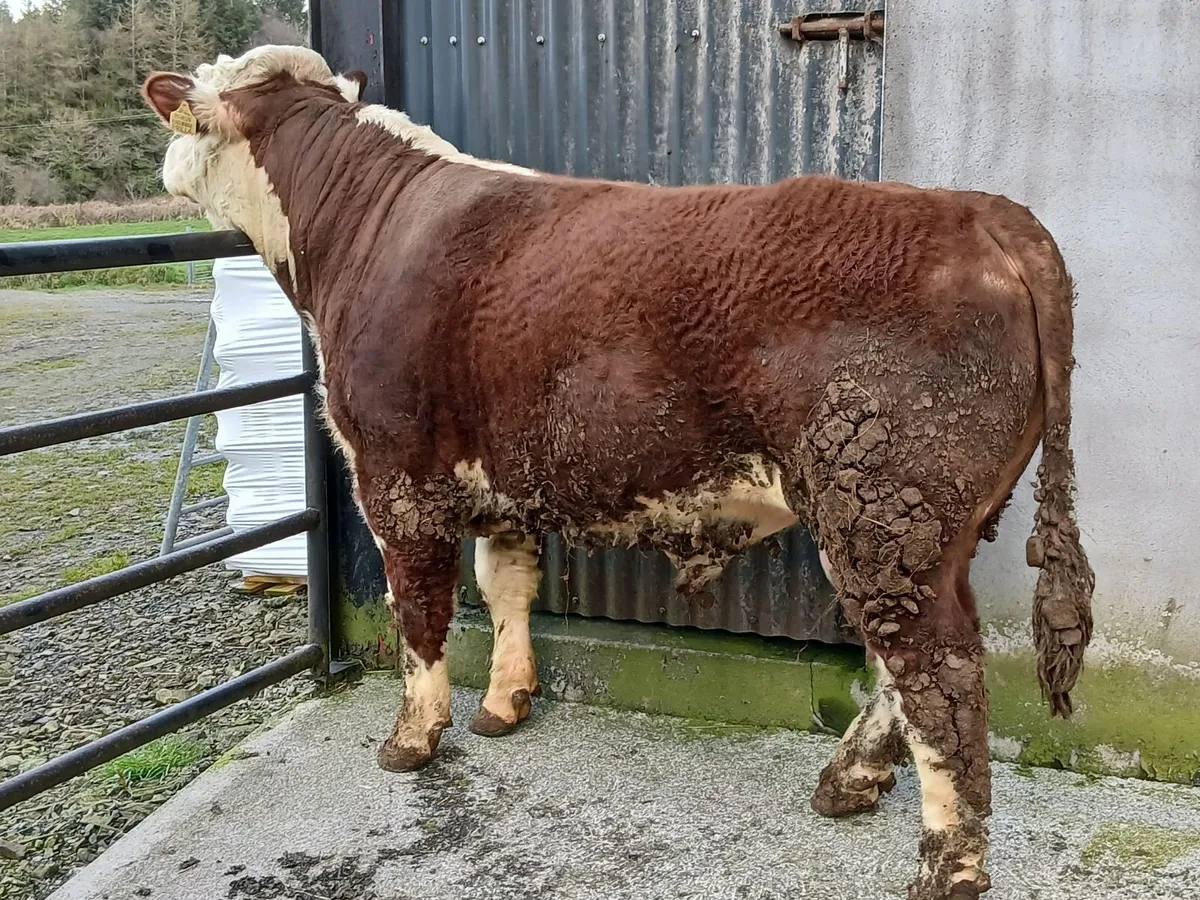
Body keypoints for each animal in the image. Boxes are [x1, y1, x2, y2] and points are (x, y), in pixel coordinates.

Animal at [140, 46, 1095, 900]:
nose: (162, 163)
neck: (361, 226)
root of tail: (981, 213)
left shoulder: (393, 469)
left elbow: (418, 612)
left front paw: (413, 738)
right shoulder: (504, 477)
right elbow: (506, 584)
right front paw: (505, 704)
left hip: (881, 509)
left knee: (941, 677)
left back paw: (945, 869)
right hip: (926, 526)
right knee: (910, 668)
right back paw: (849, 782)